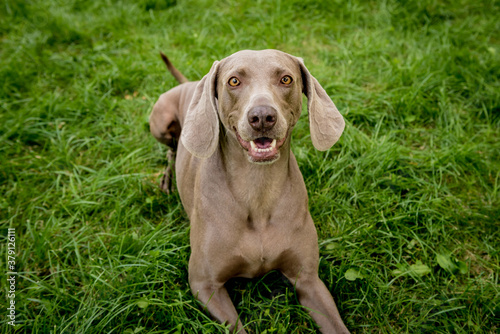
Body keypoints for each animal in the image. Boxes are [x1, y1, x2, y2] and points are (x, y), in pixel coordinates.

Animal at [150, 48, 350, 332]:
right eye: (234, 81)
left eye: (286, 79)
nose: (262, 117)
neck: (258, 190)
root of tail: (188, 83)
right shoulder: (204, 284)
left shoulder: (309, 280)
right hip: (161, 120)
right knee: (172, 148)